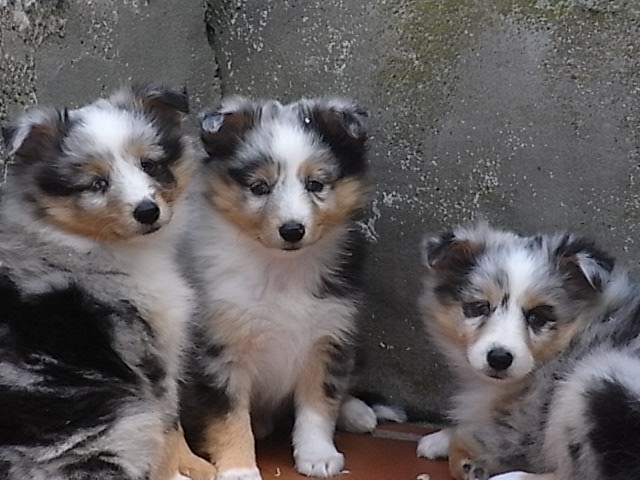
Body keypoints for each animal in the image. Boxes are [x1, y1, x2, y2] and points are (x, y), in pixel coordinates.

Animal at [0, 85, 215, 480]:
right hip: (125, 420)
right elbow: (169, 425)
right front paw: (187, 469)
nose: (148, 211)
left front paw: (197, 466)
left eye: (149, 165)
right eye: (96, 184)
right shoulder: (150, 356)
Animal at [180, 95, 384, 478]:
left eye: (315, 184)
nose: (292, 230)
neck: (281, 269)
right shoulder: (219, 352)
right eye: (260, 187)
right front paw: (239, 470)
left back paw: (357, 411)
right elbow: (229, 419)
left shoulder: (328, 337)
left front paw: (318, 455)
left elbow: (319, 406)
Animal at [416, 222, 640, 480]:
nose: (499, 358)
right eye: (479, 307)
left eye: (537, 317)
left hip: (594, 383)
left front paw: (467, 460)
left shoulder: (528, 421)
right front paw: (439, 438)